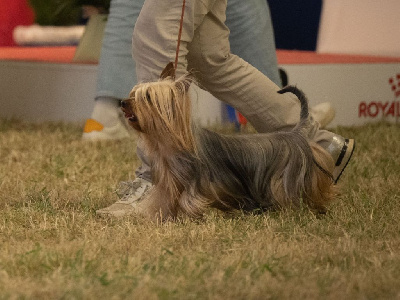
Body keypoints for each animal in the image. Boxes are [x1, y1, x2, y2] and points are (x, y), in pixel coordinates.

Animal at [121, 62, 334, 220]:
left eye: (147, 97)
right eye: (132, 94)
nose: (123, 102)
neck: (170, 142)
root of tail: (295, 133)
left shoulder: (196, 183)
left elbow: (189, 200)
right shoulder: (169, 183)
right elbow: (165, 200)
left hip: (289, 177)